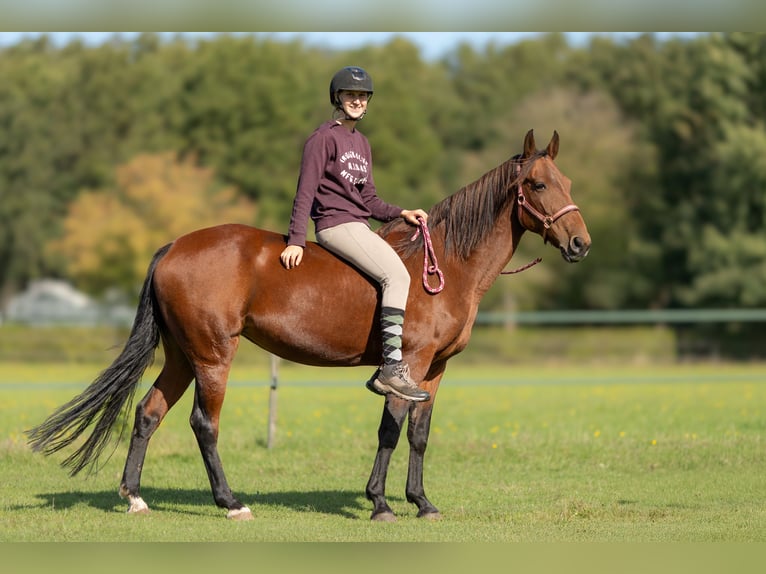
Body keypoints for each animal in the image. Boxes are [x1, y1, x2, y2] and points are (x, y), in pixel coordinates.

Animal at [27, 129, 590, 521]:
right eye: (538, 184)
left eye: (566, 183)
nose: (581, 243)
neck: (445, 264)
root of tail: (173, 246)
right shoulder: (406, 366)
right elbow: (390, 430)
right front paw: (380, 503)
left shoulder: (434, 372)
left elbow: (418, 436)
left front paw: (422, 501)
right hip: (213, 357)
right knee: (204, 424)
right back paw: (230, 502)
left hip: (182, 356)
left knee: (148, 413)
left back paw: (135, 498)